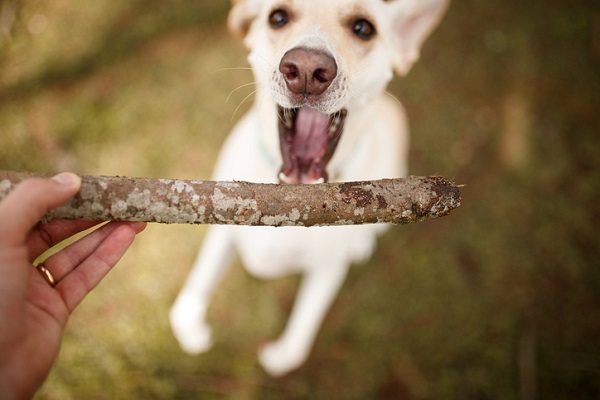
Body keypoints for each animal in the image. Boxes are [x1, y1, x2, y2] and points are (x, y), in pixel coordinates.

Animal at [171, 0, 448, 376]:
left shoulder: (327, 271)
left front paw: (276, 357)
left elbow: (294, 347)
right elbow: (188, 302)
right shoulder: (221, 230)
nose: (305, 68)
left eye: (364, 28)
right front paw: (195, 330)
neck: (288, 209)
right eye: (278, 17)